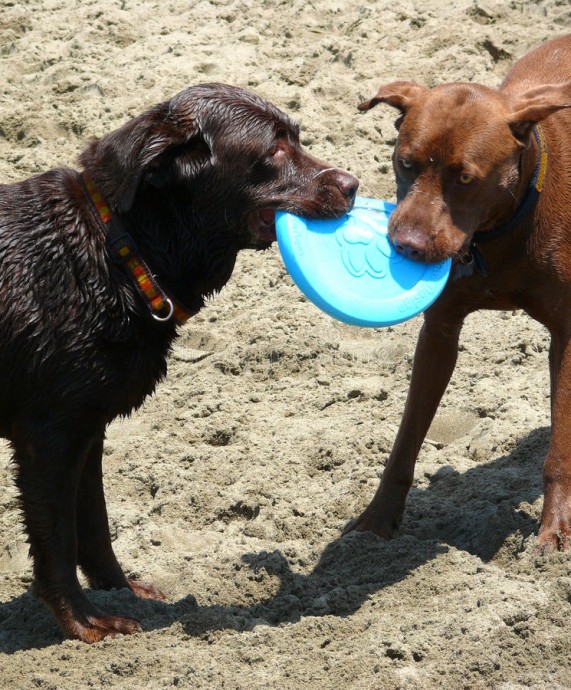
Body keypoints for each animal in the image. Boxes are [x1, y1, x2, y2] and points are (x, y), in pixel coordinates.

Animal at [350, 36, 571, 552]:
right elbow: (406, 439)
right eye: (405, 163)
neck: (500, 230)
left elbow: (559, 451)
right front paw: (375, 524)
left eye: (466, 178)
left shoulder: (568, 335)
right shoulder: (439, 332)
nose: (407, 246)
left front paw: (553, 531)